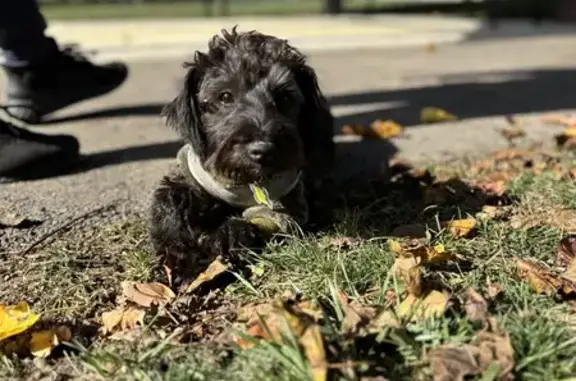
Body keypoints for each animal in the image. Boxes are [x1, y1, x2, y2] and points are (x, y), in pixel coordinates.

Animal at [148, 26, 336, 278]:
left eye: (285, 97)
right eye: (225, 96)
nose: (262, 150)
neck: (243, 180)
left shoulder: (292, 203)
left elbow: (266, 220)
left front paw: (228, 235)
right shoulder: (189, 175)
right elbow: (168, 201)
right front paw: (183, 255)